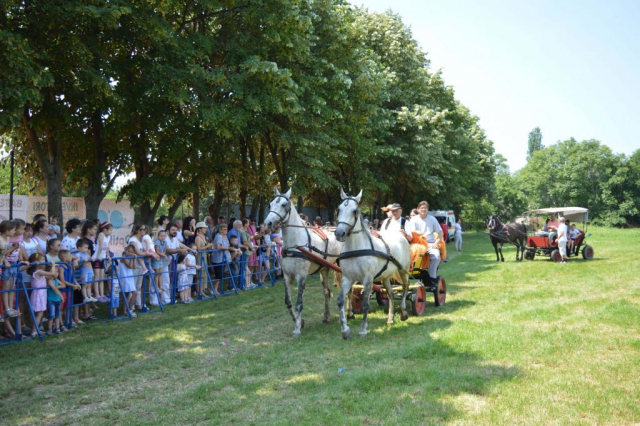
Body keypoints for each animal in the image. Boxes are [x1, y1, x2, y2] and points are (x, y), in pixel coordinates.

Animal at [264, 186, 344, 336]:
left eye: (283, 204)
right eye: (270, 204)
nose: (268, 223)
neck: (295, 244)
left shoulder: (301, 276)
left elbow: (299, 303)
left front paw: (296, 328)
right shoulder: (287, 276)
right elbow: (288, 302)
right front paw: (299, 322)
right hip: (324, 269)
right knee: (326, 292)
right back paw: (326, 317)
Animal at [332, 190, 412, 340]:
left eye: (355, 211)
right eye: (339, 209)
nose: (339, 233)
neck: (357, 248)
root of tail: (401, 236)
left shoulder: (368, 279)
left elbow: (365, 304)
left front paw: (363, 330)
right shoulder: (347, 278)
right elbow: (340, 301)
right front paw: (345, 330)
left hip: (403, 270)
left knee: (405, 287)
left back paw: (403, 312)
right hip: (385, 276)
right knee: (391, 294)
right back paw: (390, 318)